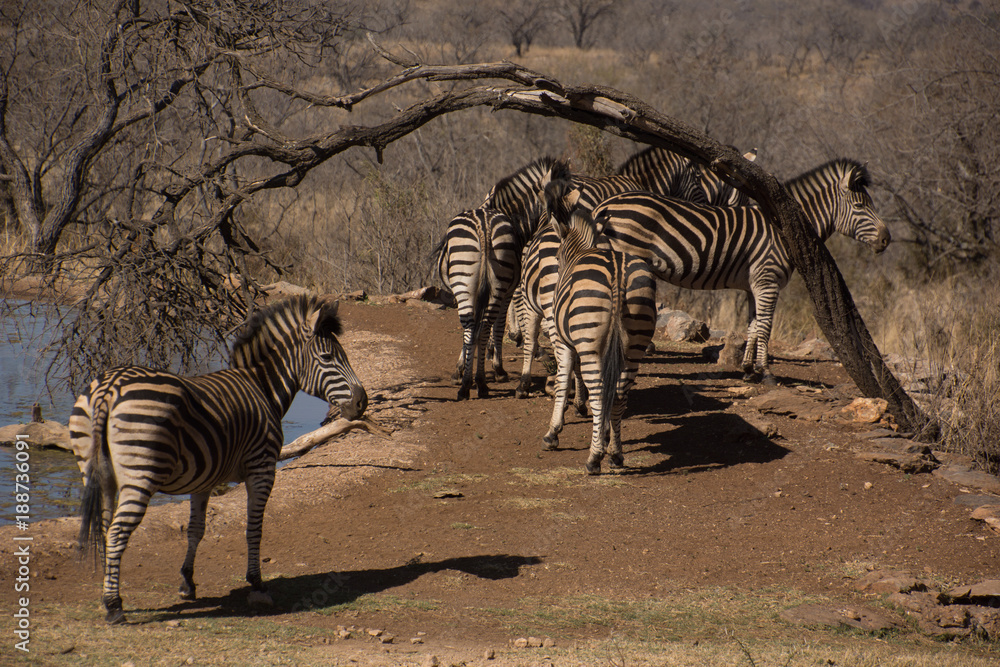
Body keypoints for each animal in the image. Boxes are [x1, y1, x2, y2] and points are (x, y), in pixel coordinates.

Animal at [69, 294, 368, 624]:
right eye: (328, 358)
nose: (362, 403)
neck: (261, 387)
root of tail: (109, 387)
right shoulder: (262, 468)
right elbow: (254, 528)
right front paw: (257, 584)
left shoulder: (203, 479)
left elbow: (195, 530)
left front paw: (187, 582)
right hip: (140, 473)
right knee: (117, 532)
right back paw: (113, 606)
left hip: (97, 472)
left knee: (105, 528)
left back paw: (107, 595)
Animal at [435, 207, 520, 399]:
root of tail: (484, 226)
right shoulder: (505, 294)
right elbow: (491, 329)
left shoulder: (507, 295)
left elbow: (491, 329)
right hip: (496, 283)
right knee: (483, 328)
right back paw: (480, 382)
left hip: (466, 284)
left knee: (471, 328)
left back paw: (467, 385)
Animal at [541, 181, 657, 474]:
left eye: (557, 258)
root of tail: (617, 269)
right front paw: (603, 434)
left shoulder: (564, 342)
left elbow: (562, 379)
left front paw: (553, 433)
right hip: (634, 343)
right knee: (619, 395)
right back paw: (615, 454)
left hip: (591, 345)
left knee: (599, 391)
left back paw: (594, 459)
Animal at [593, 158, 891, 384]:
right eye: (860, 206)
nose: (886, 239)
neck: (782, 230)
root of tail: (605, 205)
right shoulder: (768, 281)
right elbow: (766, 326)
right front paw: (766, 372)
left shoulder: (754, 285)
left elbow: (753, 325)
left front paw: (748, 369)